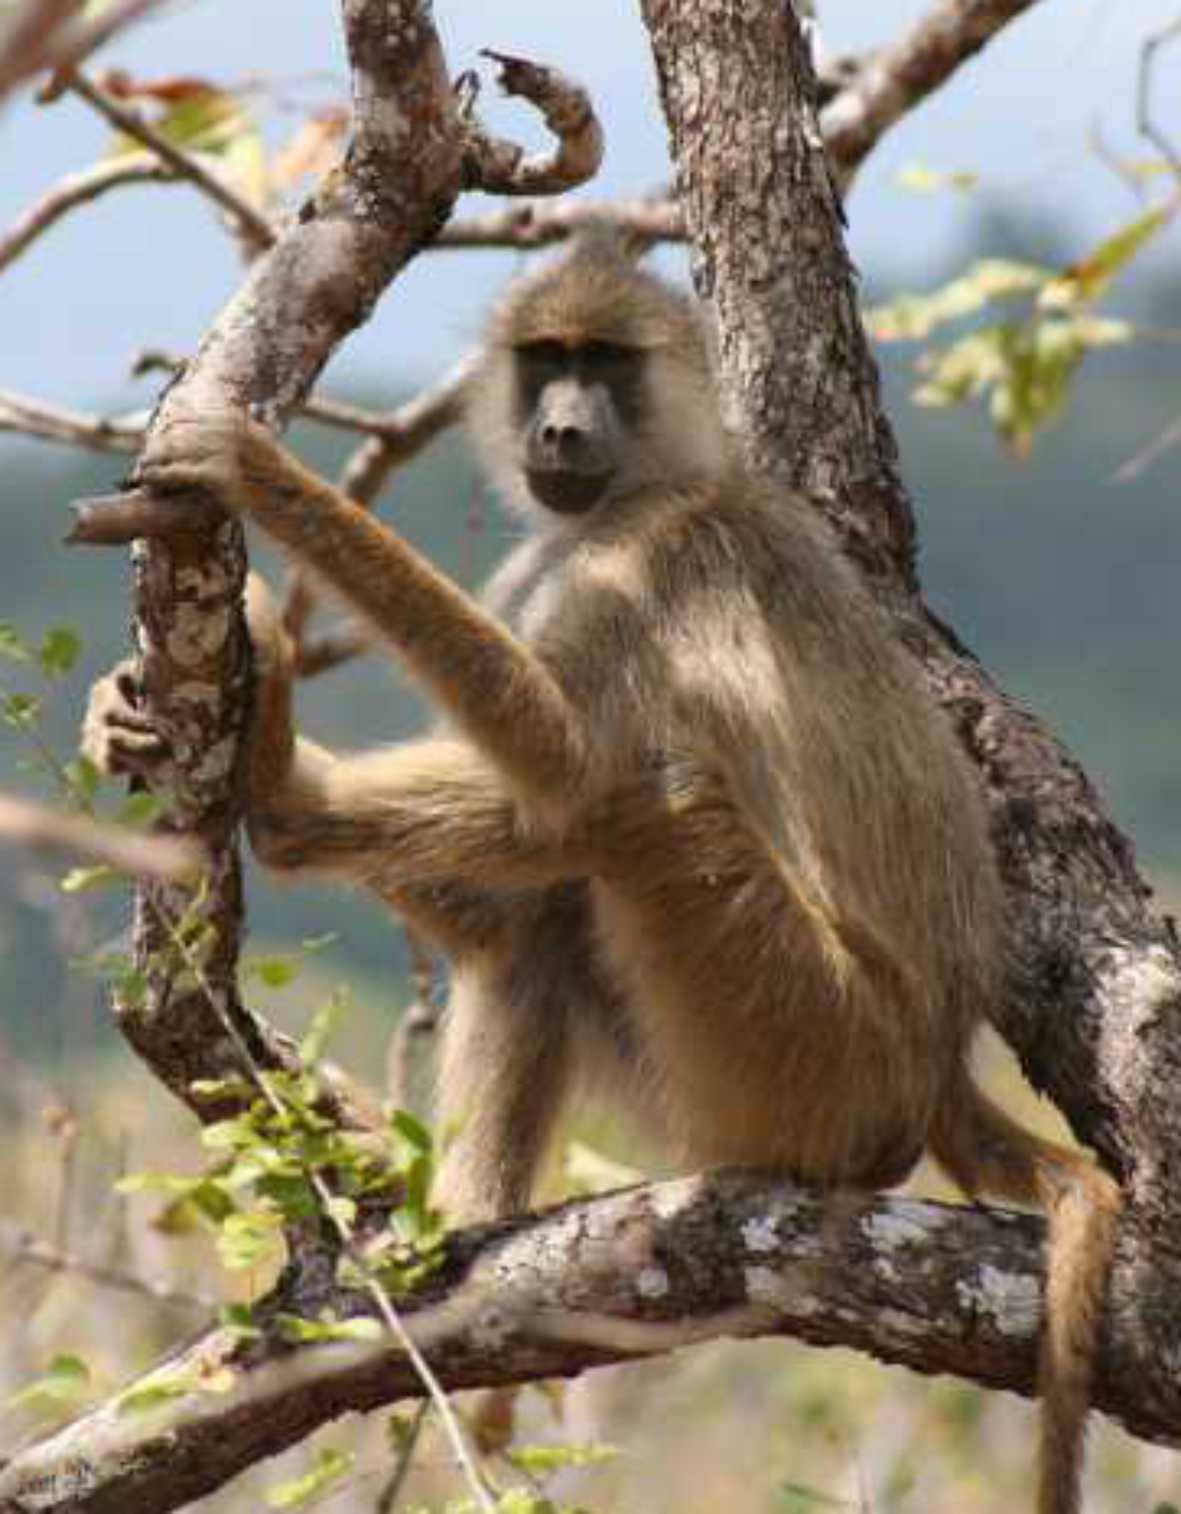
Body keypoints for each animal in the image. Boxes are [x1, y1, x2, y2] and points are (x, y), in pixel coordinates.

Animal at [83, 233, 1119, 1514]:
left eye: (607, 362)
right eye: (547, 358)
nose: (561, 430)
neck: (638, 490)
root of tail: (938, 1068)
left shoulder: (641, 565)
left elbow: (568, 781)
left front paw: (260, 474)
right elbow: (530, 856)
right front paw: (250, 763)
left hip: (819, 1047)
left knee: (645, 804)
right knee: (539, 924)